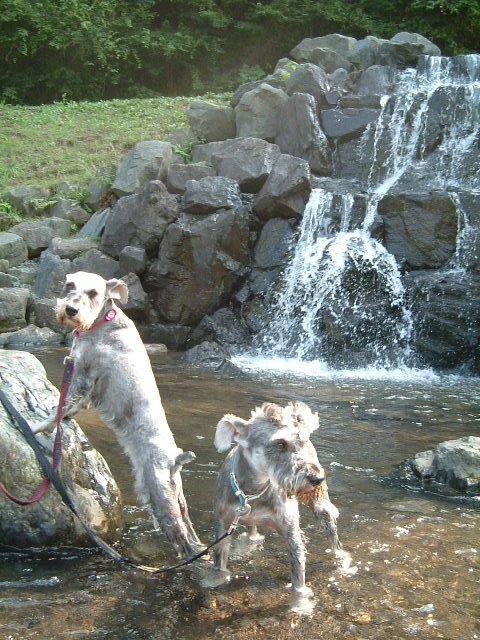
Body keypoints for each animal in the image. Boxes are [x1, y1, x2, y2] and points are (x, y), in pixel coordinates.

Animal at [32, 271, 203, 558]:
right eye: (69, 285)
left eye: (93, 293)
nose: (71, 309)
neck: (102, 322)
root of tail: (175, 459)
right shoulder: (84, 383)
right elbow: (70, 407)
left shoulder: (82, 374)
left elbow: (61, 405)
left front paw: (39, 426)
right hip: (176, 496)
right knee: (191, 532)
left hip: (159, 494)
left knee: (183, 539)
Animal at [212, 401, 344, 596]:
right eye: (280, 444)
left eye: (301, 442)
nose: (318, 478)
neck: (254, 491)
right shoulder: (223, 525)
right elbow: (219, 562)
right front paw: (217, 579)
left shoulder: (290, 531)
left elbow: (298, 575)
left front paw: (300, 599)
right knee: (252, 532)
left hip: (321, 506)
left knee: (333, 535)